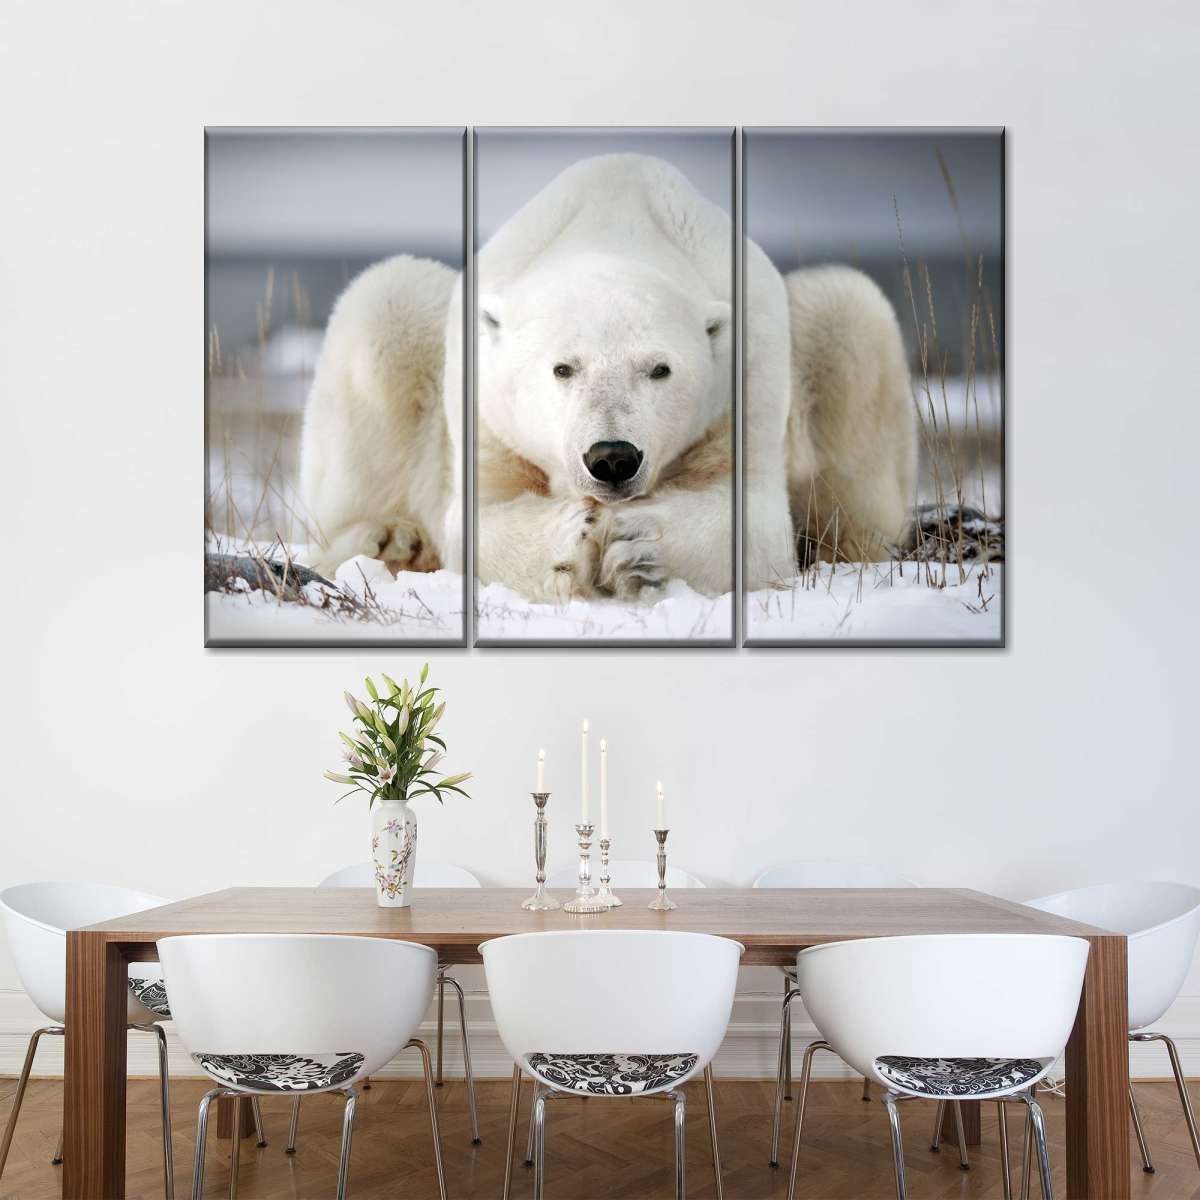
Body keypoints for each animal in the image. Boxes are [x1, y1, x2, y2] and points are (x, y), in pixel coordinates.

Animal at [301, 153, 916, 599]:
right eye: (562, 368)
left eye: (660, 369)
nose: (613, 457)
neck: (615, 221)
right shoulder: (484, 409)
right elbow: (478, 516)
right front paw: (573, 537)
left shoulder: (748, 377)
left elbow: (757, 517)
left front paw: (638, 543)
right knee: (386, 304)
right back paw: (389, 541)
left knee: (848, 314)